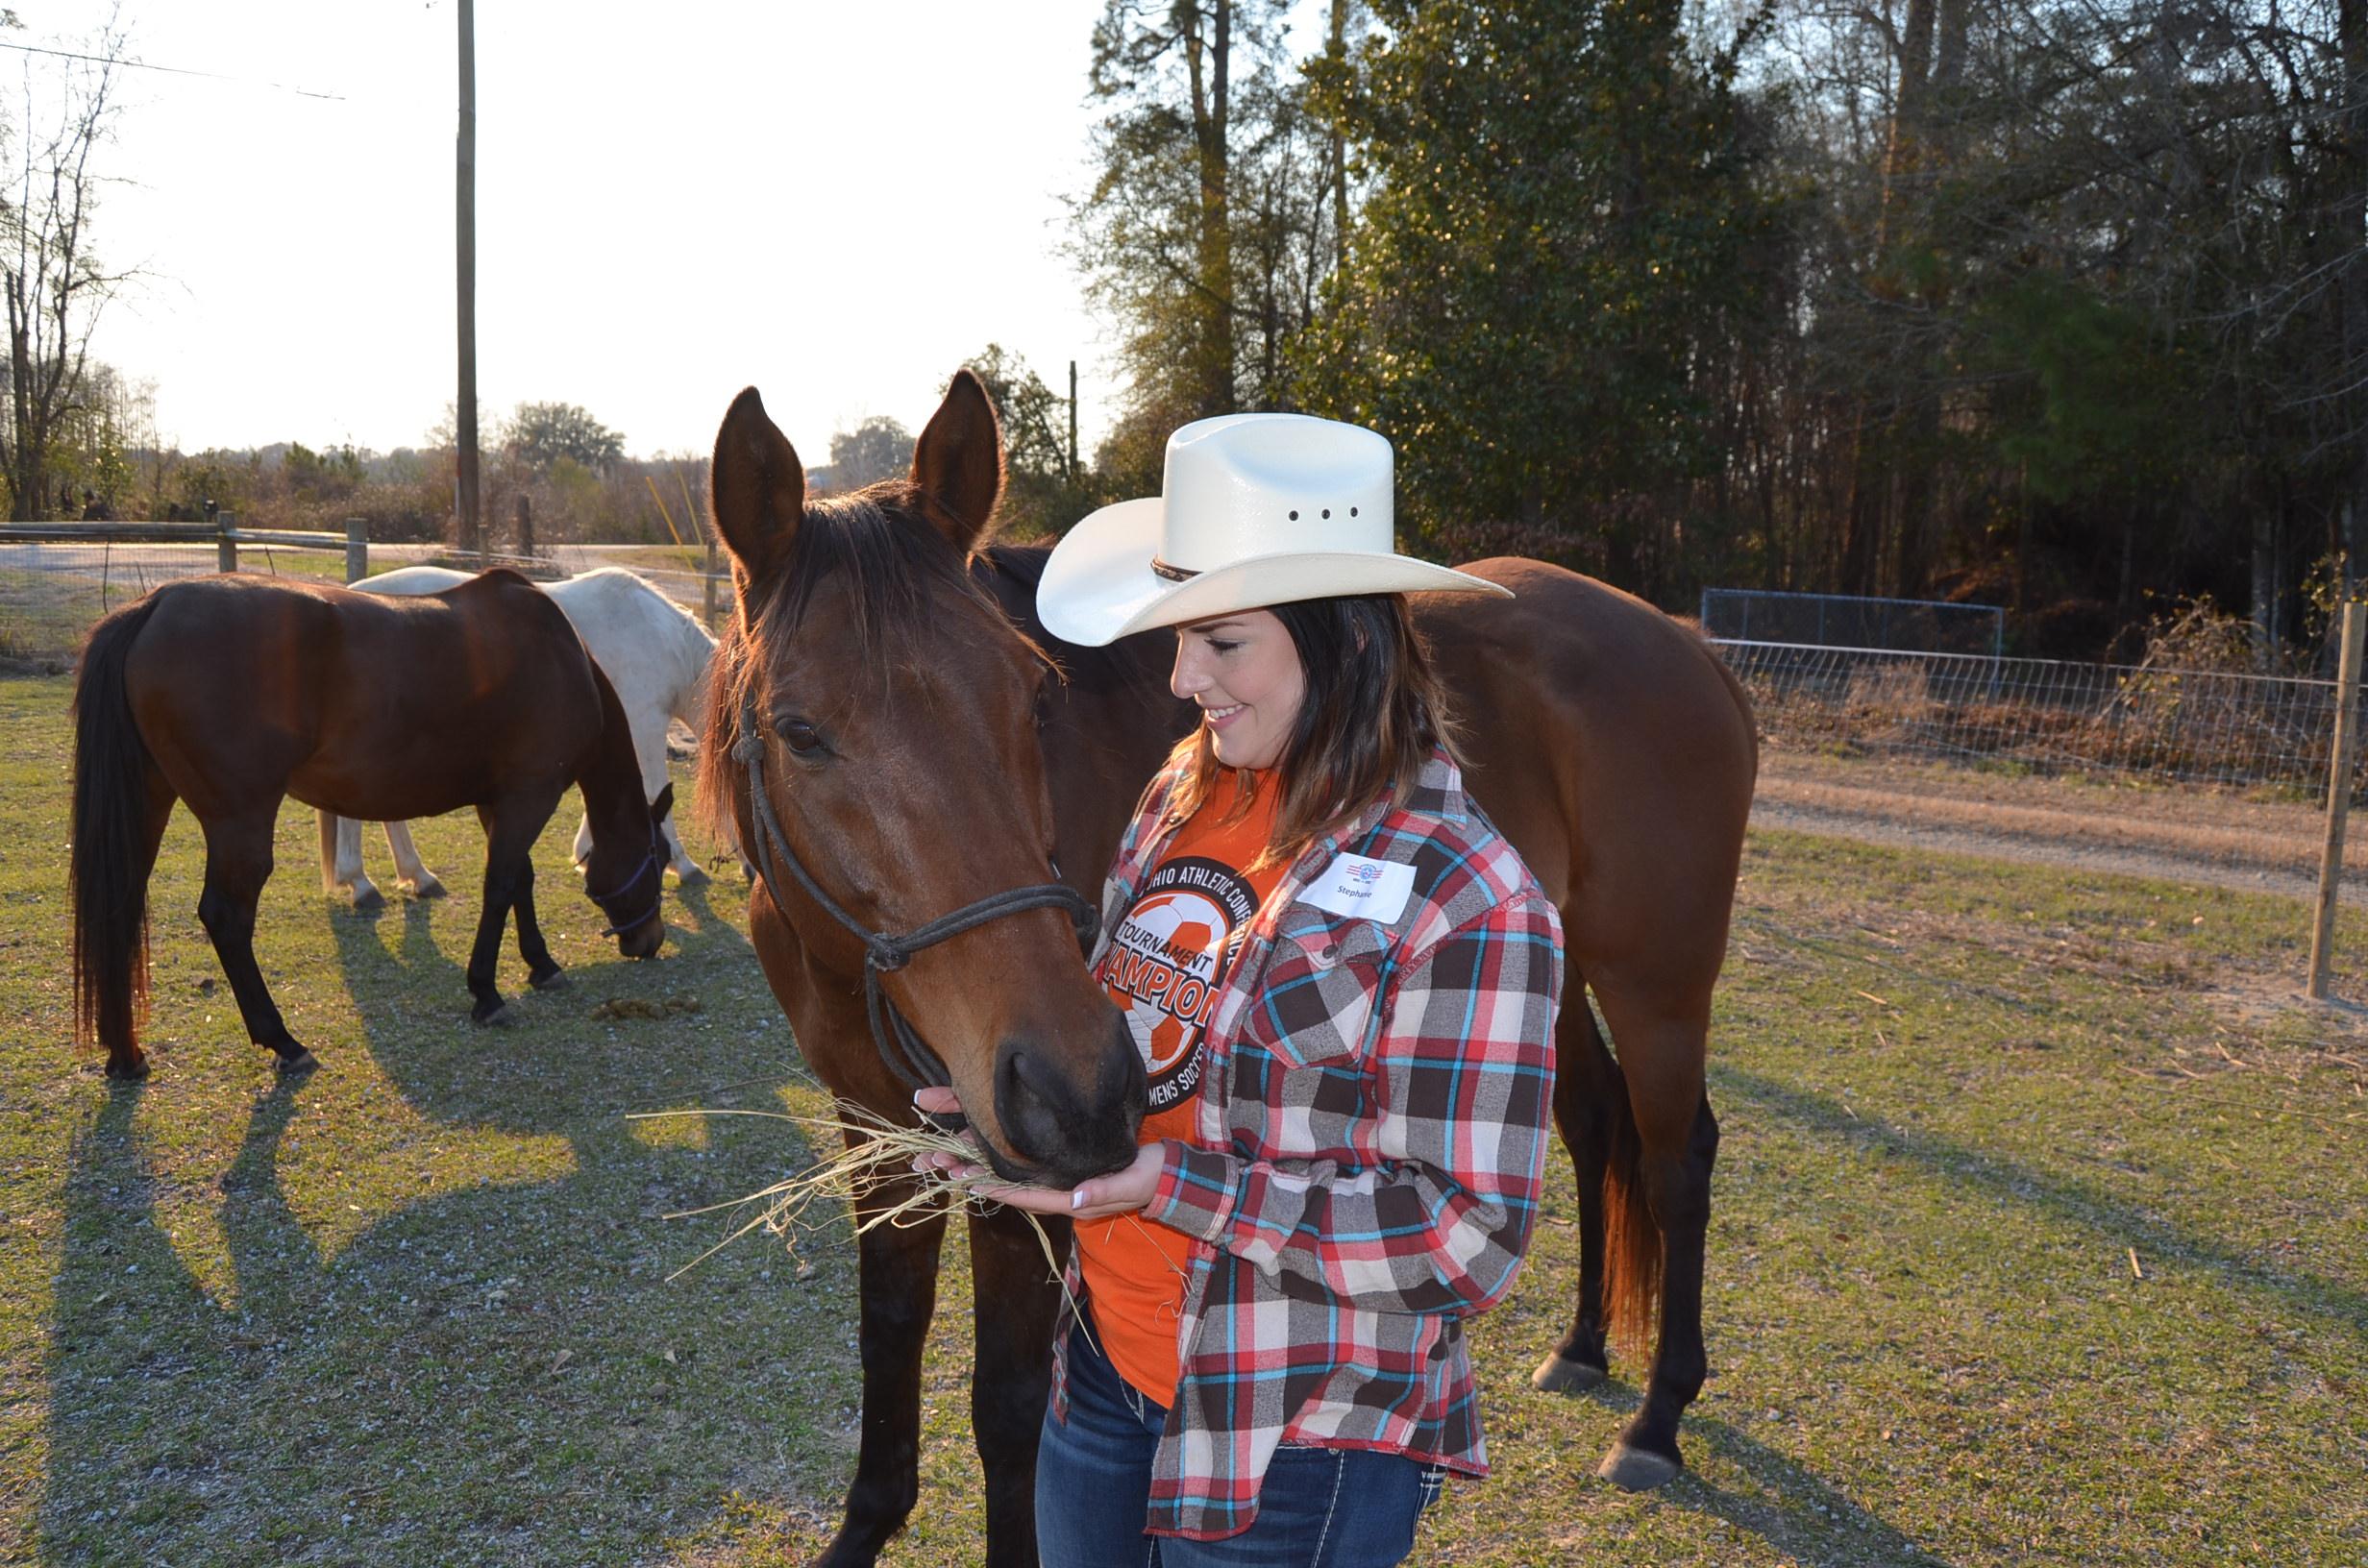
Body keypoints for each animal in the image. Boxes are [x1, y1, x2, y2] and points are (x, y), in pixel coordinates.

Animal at [70, 569, 675, 1081]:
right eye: (659, 859)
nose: (649, 940)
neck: (560, 657)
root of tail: (157, 604)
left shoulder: (499, 801)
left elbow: (518, 881)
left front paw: (541, 964)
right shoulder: (530, 795)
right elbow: (502, 884)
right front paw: (486, 991)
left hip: (150, 803)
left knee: (120, 904)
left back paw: (126, 1054)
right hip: (238, 821)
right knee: (226, 918)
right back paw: (283, 1041)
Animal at [319, 565, 718, 907]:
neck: (661, 640)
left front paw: (586, 855)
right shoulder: (645, 724)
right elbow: (653, 792)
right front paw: (685, 865)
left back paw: (418, 876)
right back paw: (362, 885)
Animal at [695, 375, 1756, 1567]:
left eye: (1031, 697)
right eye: (798, 730)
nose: (1076, 1089)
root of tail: (1683, 642)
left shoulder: (1016, 1190)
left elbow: (1008, 1404)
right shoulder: (871, 1127)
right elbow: (887, 1341)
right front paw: (863, 1528)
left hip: (1656, 985)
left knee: (1675, 1161)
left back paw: (1656, 1419)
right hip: (1549, 991)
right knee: (1584, 1124)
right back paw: (1581, 1346)